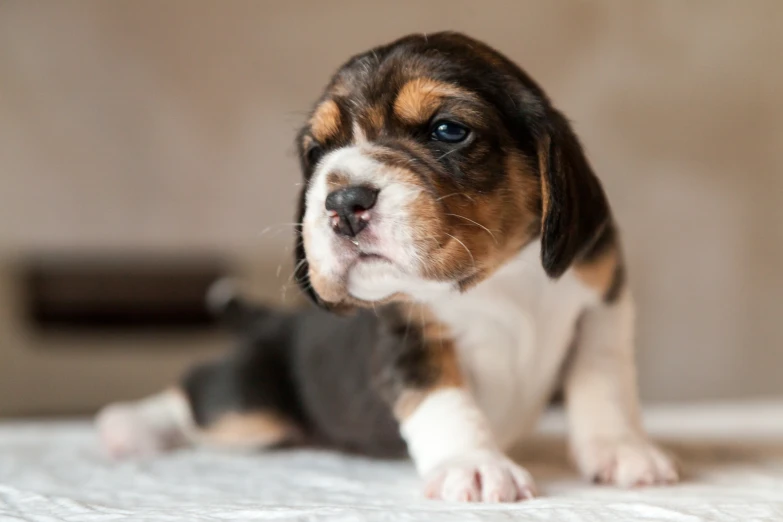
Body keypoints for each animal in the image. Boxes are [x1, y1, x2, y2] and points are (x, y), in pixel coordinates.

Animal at [96, 31, 680, 500]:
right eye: (316, 152)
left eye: (448, 130)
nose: (342, 202)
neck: (495, 280)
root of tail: (275, 324)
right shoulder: (409, 339)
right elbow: (443, 400)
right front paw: (473, 465)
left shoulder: (602, 302)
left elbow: (603, 382)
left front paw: (622, 450)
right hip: (247, 403)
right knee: (194, 393)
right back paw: (130, 424)